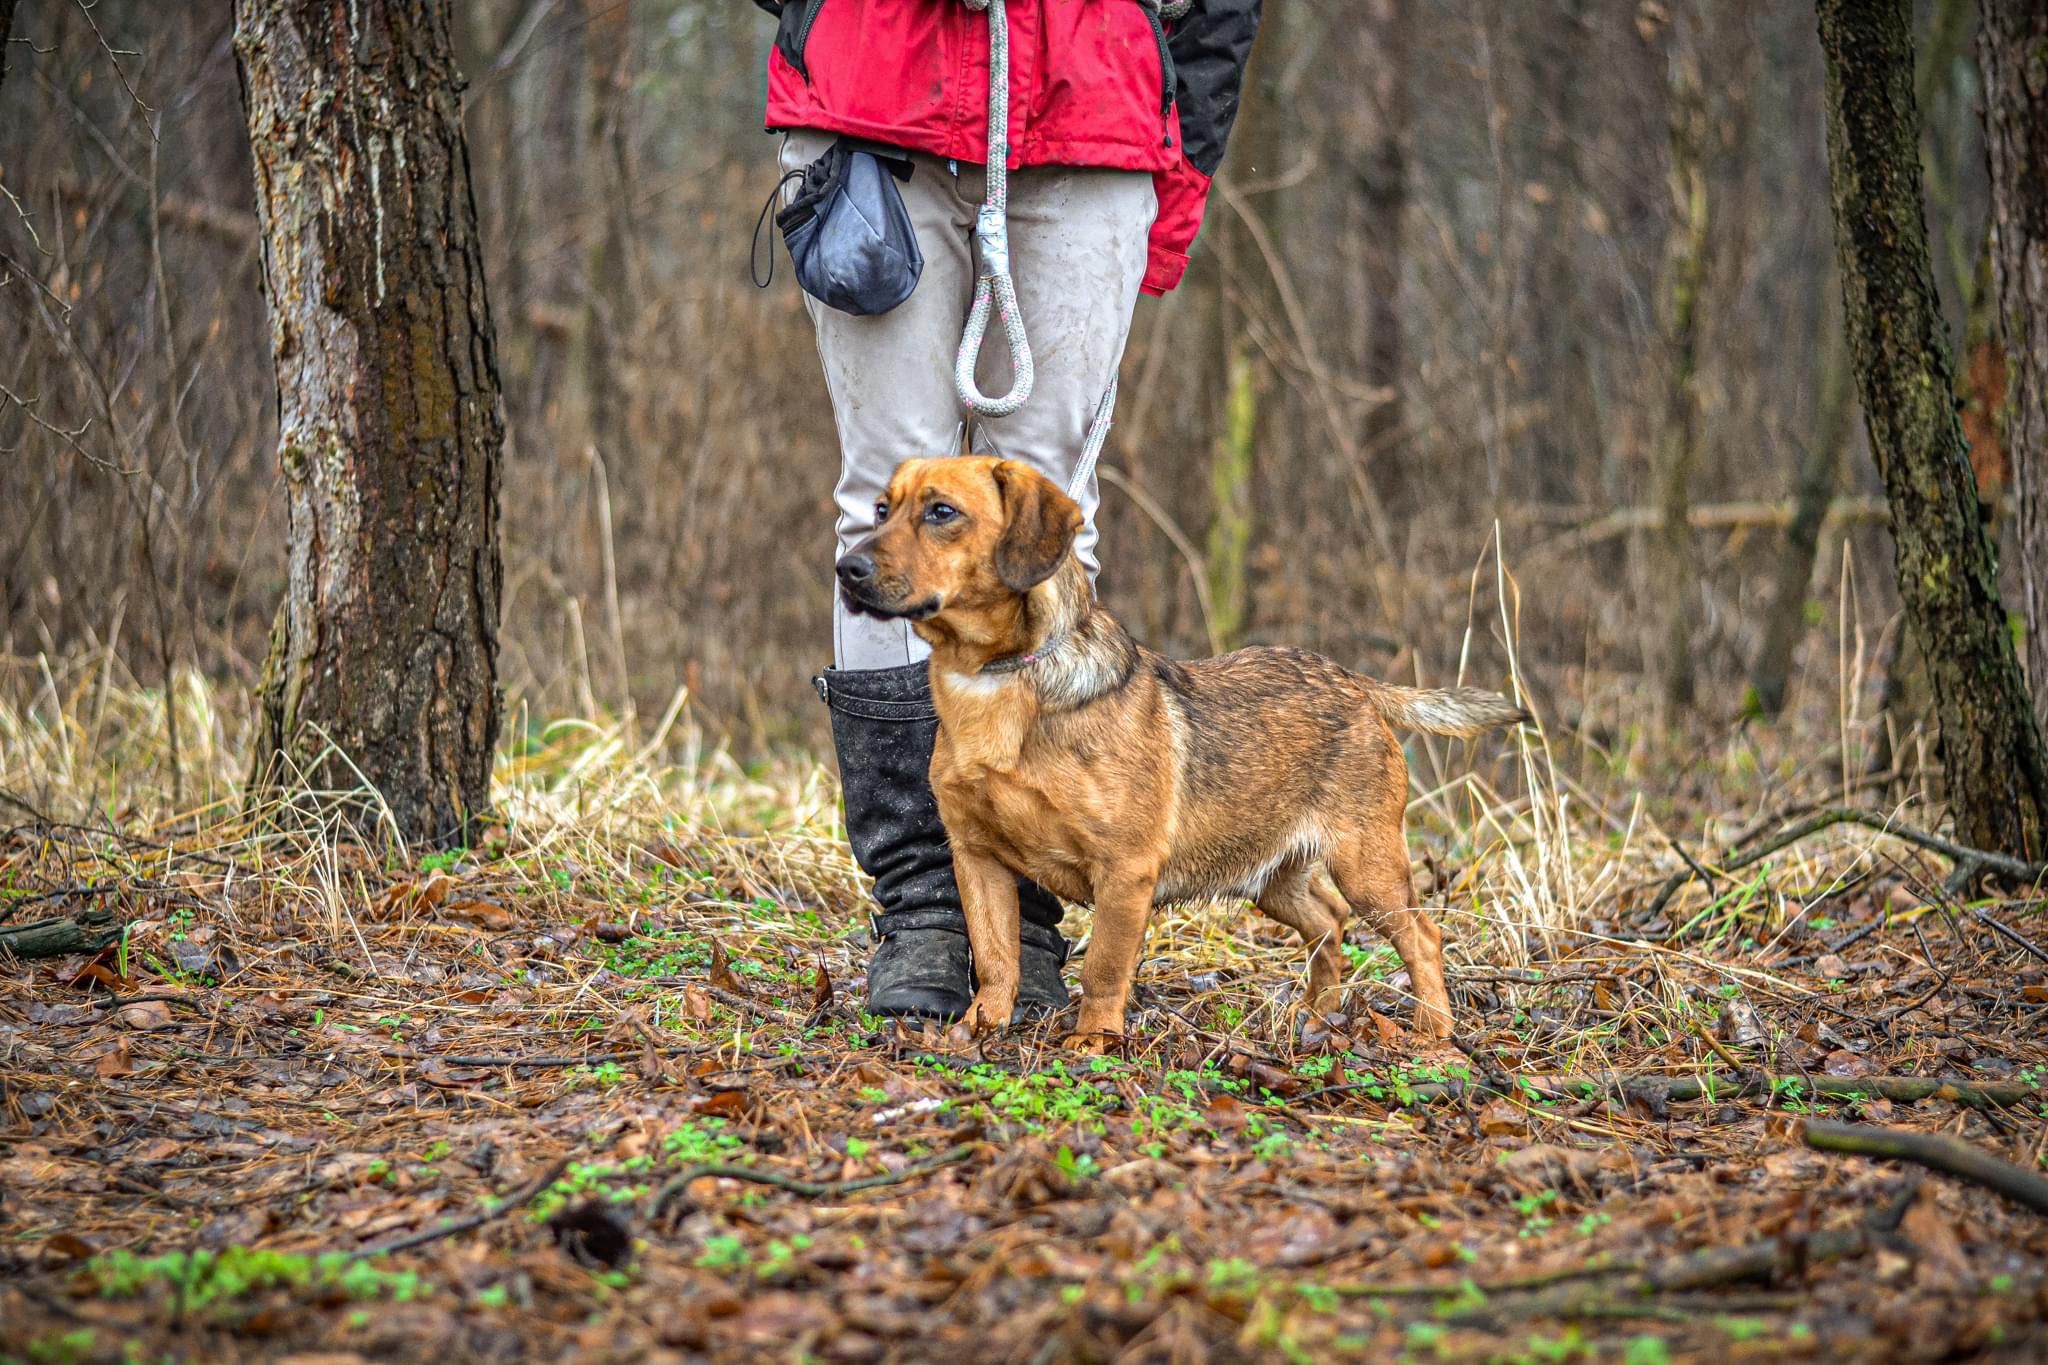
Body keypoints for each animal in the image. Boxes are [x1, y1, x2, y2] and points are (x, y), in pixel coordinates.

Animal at [831, 458, 1523, 1047]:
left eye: (942, 512)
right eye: (881, 509)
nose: (847, 570)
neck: (994, 681)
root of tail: (1357, 682)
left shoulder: (1124, 872)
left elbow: (1103, 969)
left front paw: (1093, 1040)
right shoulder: (978, 859)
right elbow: (996, 957)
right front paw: (980, 1027)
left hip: (1367, 867)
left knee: (1421, 936)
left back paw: (1432, 1032)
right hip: (1271, 876)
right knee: (1328, 923)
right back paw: (1314, 1016)